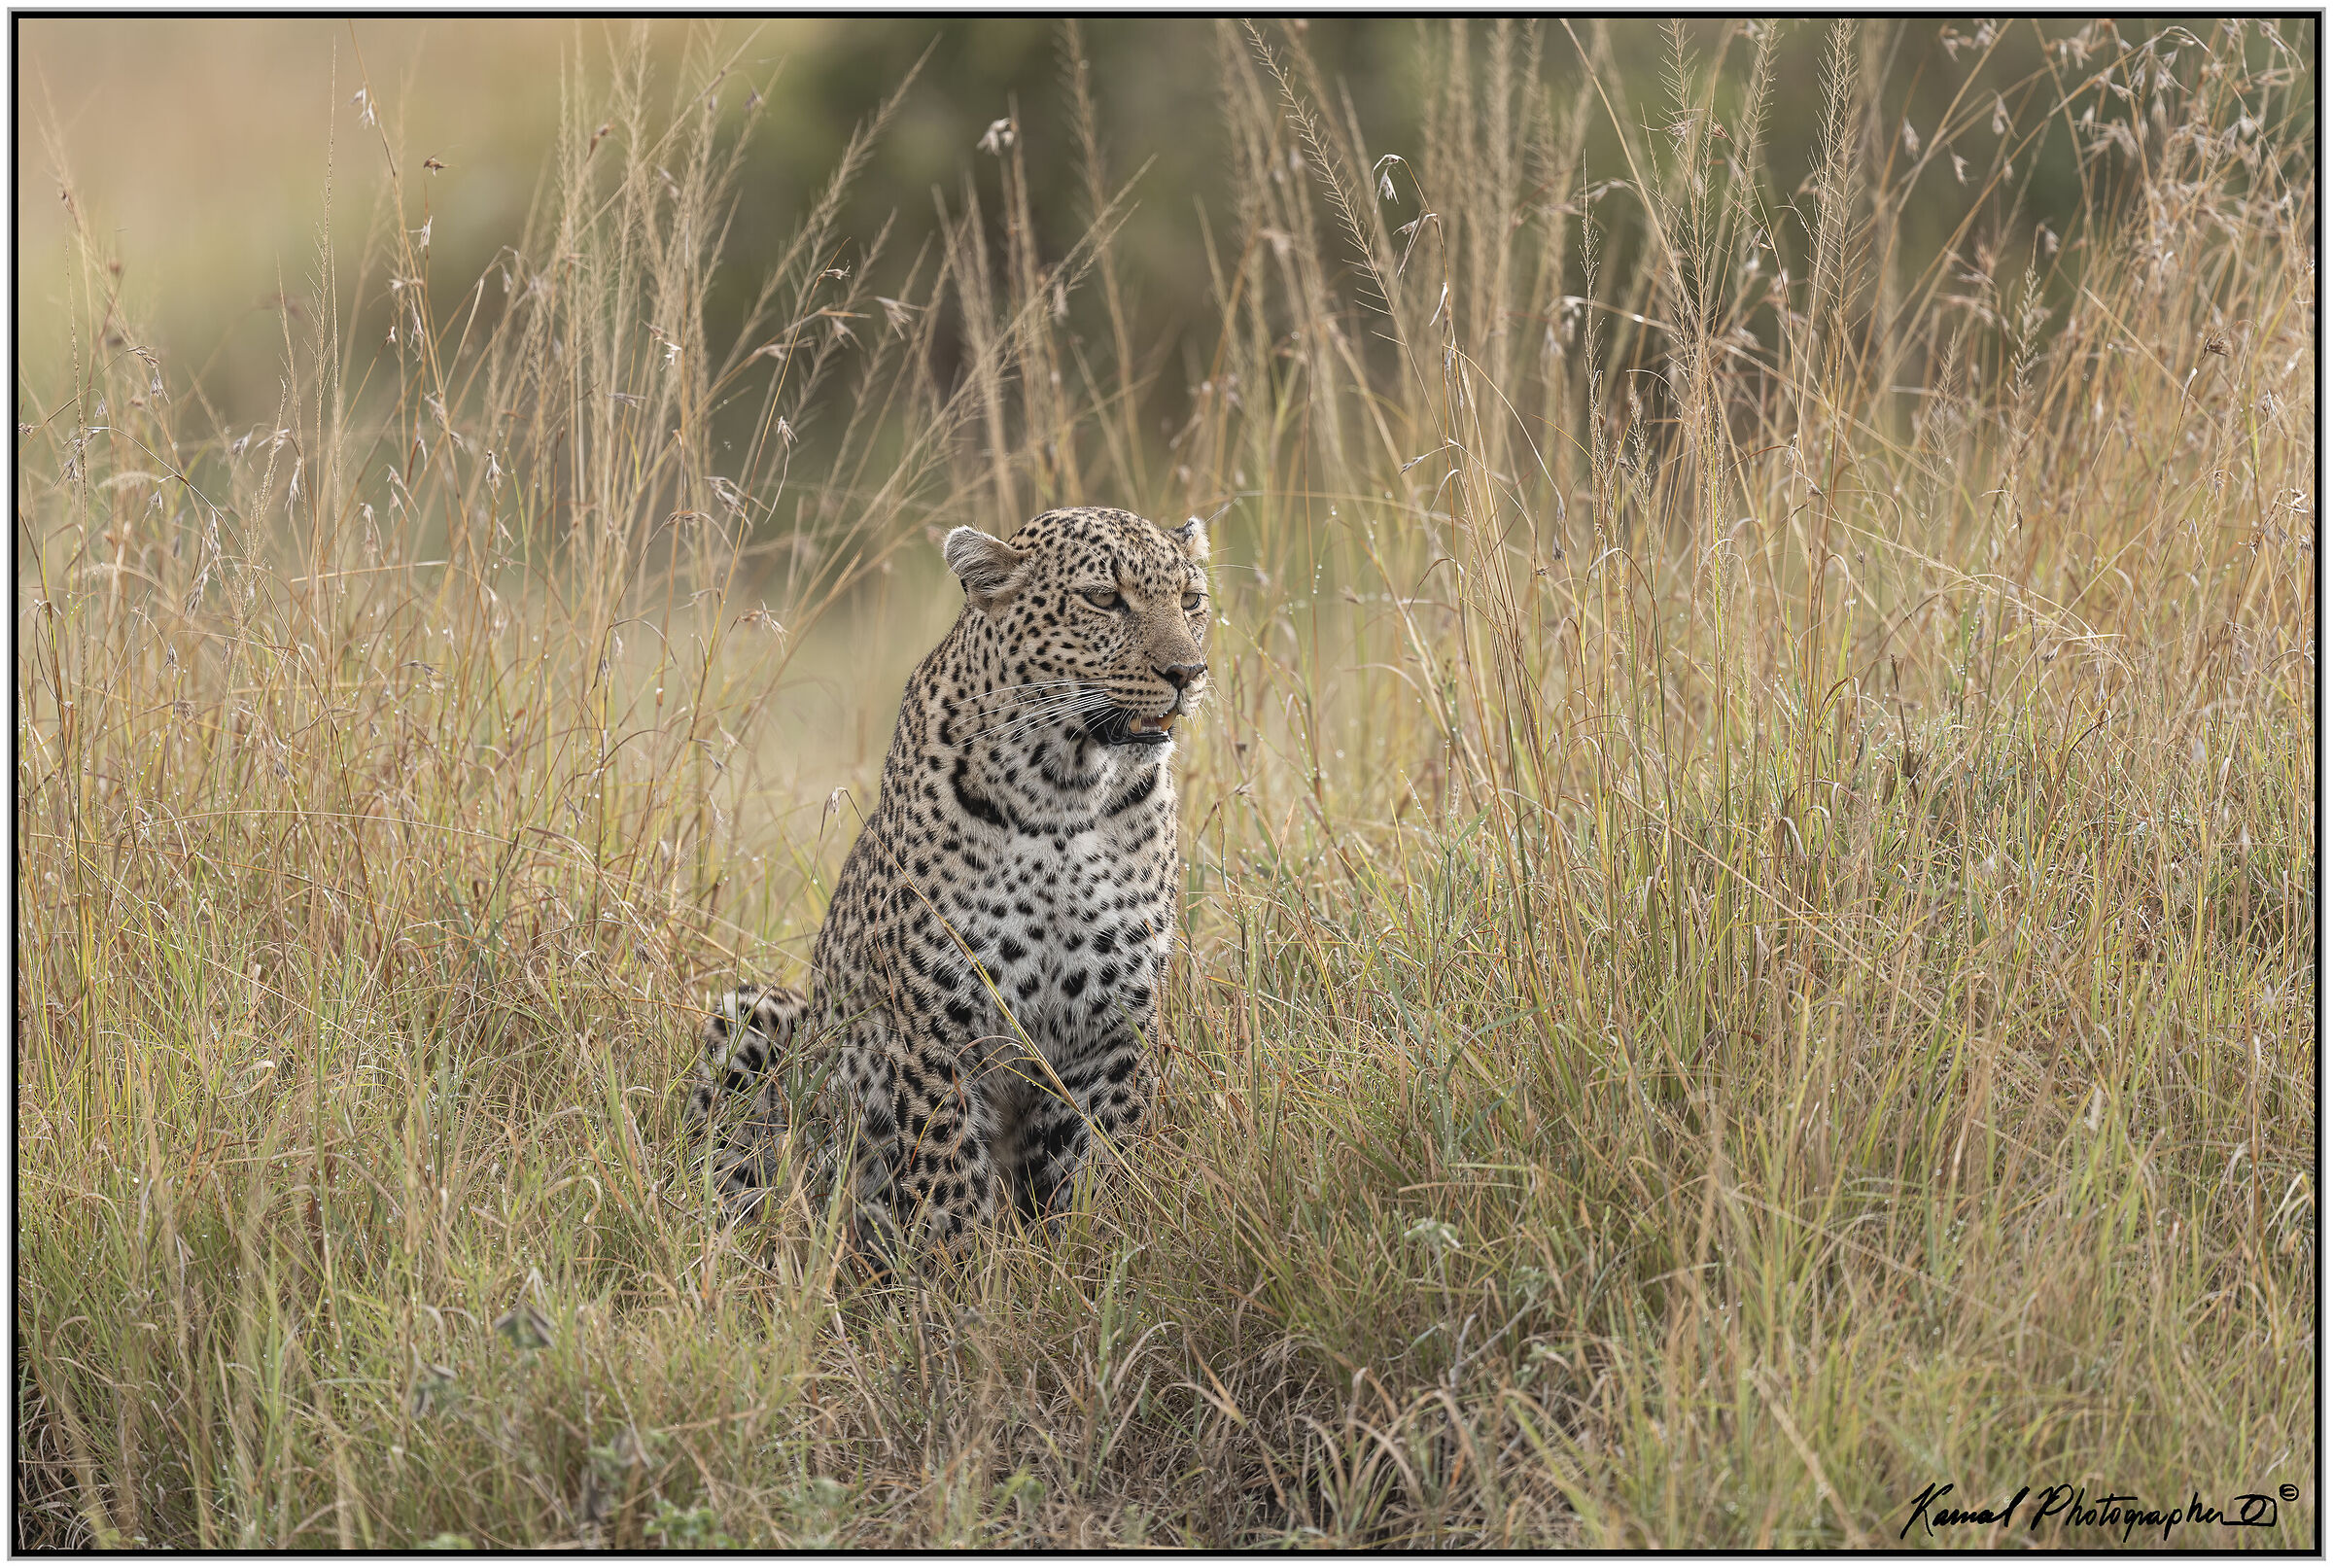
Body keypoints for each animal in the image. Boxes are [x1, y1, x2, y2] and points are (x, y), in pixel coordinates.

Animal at [684, 505, 1212, 1265]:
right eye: (1103, 599)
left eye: (1191, 601)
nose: (1187, 672)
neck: (1065, 793)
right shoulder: (940, 1032)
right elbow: (949, 1185)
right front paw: (960, 1286)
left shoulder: (1114, 1032)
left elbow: (1095, 1174)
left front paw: (1087, 1268)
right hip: (754, 1013)